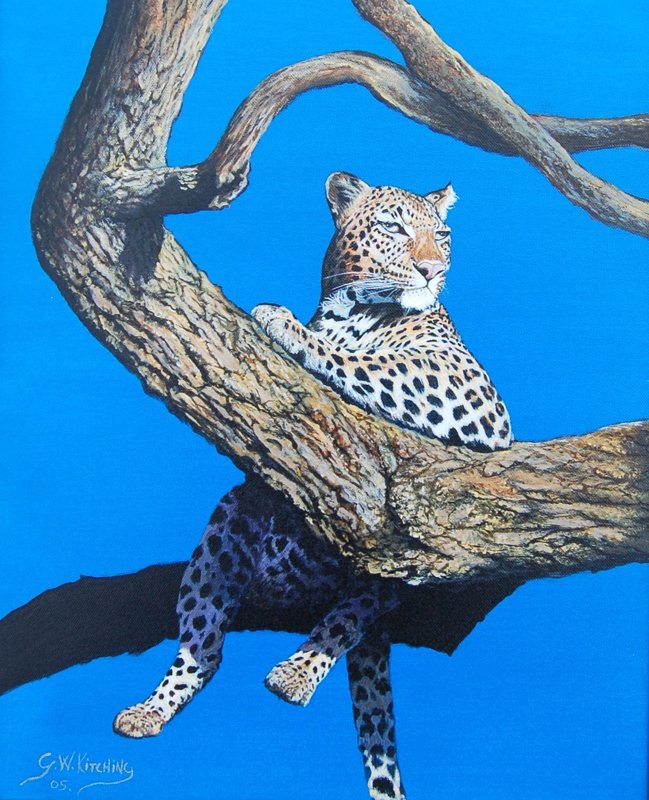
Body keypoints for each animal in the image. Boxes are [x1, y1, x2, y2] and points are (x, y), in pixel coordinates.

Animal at [113, 171, 512, 800]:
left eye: (443, 235)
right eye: (394, 227)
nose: (431, 270)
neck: (349, 310)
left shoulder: (472, 397)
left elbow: (367, 364)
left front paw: (285, 323)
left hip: (397, 563)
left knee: (355, 611)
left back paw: (295, 674)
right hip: (229, 525)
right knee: (205, 646)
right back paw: (150, 709)